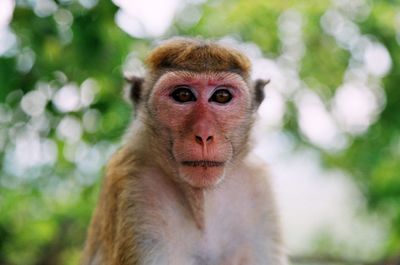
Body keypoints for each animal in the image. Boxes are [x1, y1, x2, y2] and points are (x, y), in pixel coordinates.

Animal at [80, 37, 288, 264]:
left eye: (221, 96)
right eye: (183, 95)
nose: (204, 134)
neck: (200, 201)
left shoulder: (258, 188)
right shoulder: (134, 187)